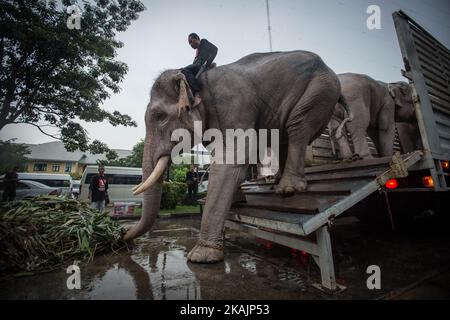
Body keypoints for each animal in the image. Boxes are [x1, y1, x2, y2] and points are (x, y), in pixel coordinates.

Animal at [125, 51, 346, 264]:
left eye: (160, 116)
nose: (123, 236)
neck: (197, 81)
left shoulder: (233, 106)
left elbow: (234, 155)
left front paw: (201, 257)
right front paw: (236, 201)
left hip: (319, 90)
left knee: (297, 126)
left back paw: (287, 189)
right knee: (284, 136)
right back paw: (277, 183)